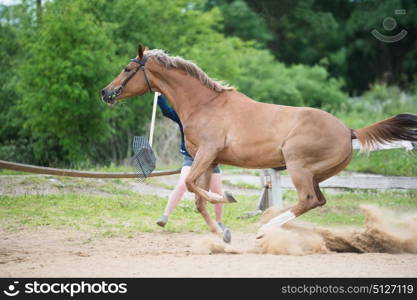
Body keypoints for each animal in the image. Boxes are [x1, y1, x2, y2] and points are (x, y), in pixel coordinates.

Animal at [101, 44, 416, 237]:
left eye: (128, 69)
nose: (106, 92)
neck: (205, 104)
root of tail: (349, 130)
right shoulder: (209, 160)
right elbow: (198, 199)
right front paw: (220, 234)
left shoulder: (208, 152)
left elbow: (192, 186)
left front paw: (225, 197)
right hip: (316, 173)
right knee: (318, 200)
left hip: (298, 167)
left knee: (307, 200)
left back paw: (266, 228)